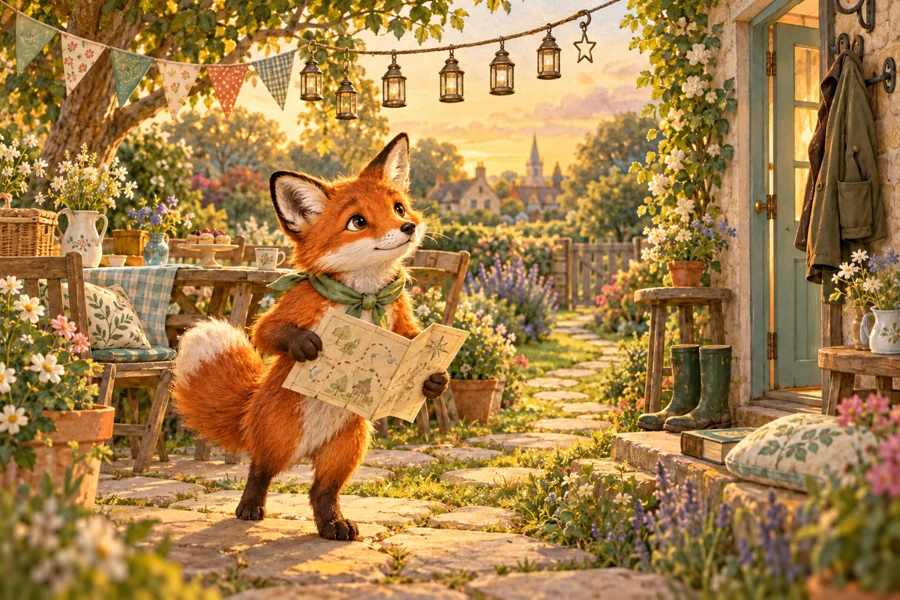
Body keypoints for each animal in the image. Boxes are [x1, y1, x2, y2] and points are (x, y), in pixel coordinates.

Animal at [173, 133, 449, 541]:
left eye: (398, 207)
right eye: (358, 222)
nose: (408, 227)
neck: (362, 296)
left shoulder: (399, 315)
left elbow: (414, 338)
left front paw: (434, 381)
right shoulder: (295, 305)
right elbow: (266, 333)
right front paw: (305, 345)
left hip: (347, 449)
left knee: (322, 491)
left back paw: (333, 523)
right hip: (278, 439)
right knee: (260, 469)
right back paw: (250, 507)